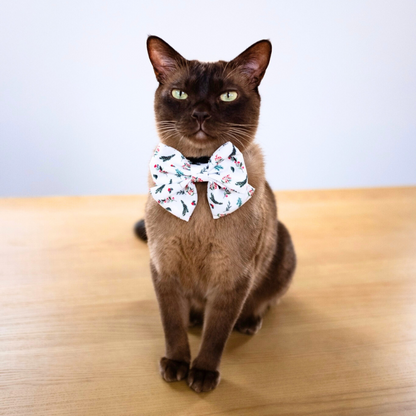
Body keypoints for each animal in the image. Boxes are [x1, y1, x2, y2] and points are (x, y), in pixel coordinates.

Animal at [133, 36, 296, 394]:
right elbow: (173, 326)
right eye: (180, 94)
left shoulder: (232, 278)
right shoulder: (164, 270)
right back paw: (195, 318)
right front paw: (177, 364)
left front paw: (203, 374)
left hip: (282, 248)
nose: (200, 114)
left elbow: (216, 334)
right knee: (192, 315)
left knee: (263, 301)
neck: (199, 174)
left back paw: (248, 322)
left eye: (227, 96)